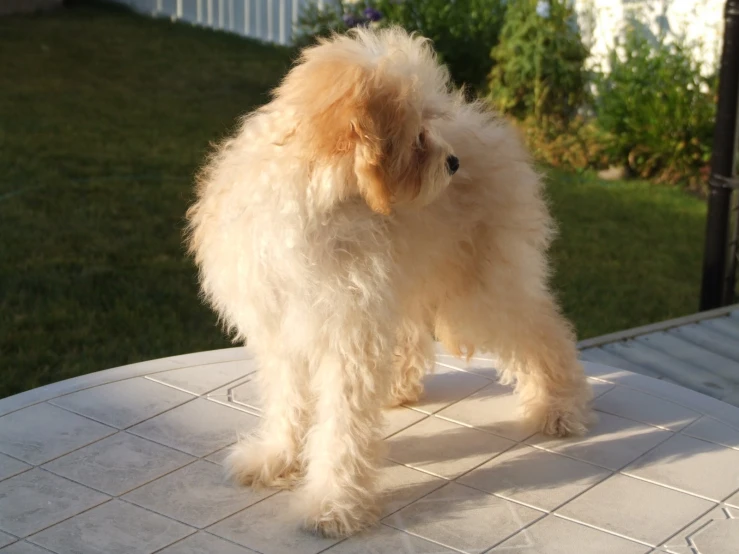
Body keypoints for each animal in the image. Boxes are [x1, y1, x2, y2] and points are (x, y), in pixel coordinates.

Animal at [186, 25, 596, 536]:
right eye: (417, 134)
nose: (453, 163)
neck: (319, 205)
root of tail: (488, 127)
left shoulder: (346, 336)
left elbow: (341, 430)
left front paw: (333, 504)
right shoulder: (285, 331)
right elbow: (287, 403)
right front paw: (277, 459)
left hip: (477, 290)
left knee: (543, 332)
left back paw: (560, 406)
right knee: (414, 333)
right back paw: (399, 387)